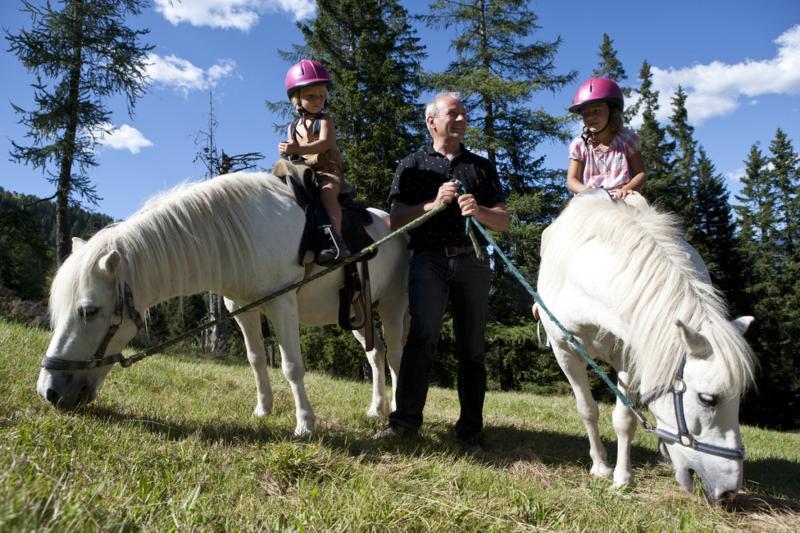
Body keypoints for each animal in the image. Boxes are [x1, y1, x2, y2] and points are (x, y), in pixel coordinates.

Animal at [36, 166, 410, 436]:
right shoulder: (242, 309)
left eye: (89, 311)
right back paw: (376, 408)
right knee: (376, 355)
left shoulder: (282, 304)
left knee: (395, 358)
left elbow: (291, 365)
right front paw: (263, 410)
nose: (49, 392)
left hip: (392, 307)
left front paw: (305, 424)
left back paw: (394, 411)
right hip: (357, 311)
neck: (246, 228)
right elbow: (256, 360)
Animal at [536, 193, 756, 500]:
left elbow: (625, 419)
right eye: (707, 399)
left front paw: (622, 477)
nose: (729, 491)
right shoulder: (565, 351)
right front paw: (601, 466)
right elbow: (588, 409)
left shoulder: (630, 355)